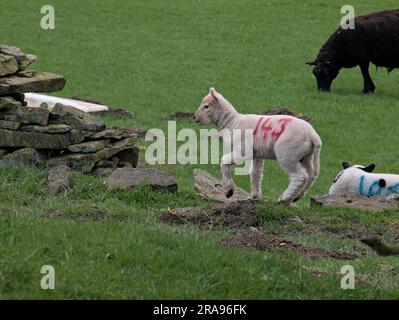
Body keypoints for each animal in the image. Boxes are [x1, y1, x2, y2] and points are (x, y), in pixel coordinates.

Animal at [193, 87, 322, 205]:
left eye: (206, 106)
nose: (194, 117)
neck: (231, 122)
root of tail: (313, 136)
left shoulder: (242, 151)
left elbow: (224, 161)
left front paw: (229, 191)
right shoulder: (257, 154)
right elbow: (255, 173)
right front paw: (254, 196)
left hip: (287, 152)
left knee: (299, 176)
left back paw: (284, 198)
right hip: (305, 155)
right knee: (312, 174)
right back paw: (296, 197)